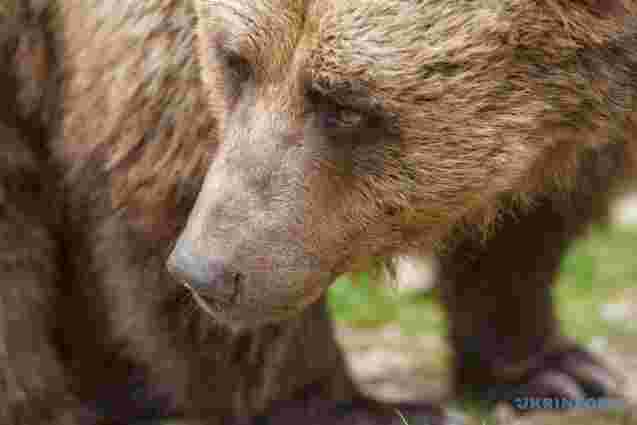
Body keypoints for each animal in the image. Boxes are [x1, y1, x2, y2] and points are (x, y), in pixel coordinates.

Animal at [0, 0, 632, 422]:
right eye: (236, 61)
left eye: (345, 104)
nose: (203, 272)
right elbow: (162, 149)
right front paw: (344, 404)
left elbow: (542, 213)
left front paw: (559, 369)